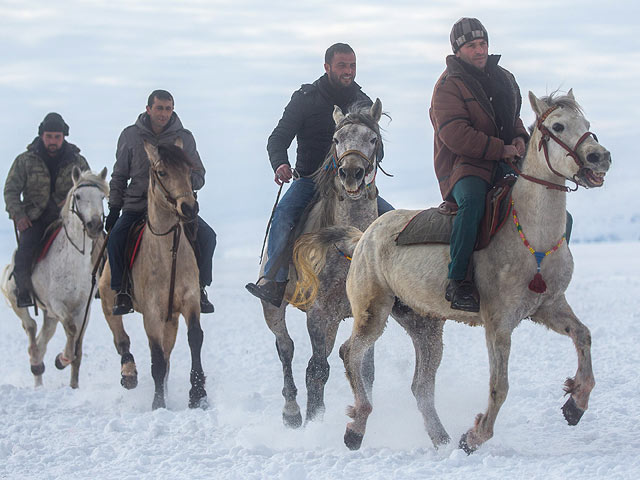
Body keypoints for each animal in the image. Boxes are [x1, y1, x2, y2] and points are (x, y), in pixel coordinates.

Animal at [0, 167, 108, 388]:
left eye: (102, 197)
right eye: (78, 196)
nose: (94, 225)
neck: (73, 262)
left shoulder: (83, 309)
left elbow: (78, 348)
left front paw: (74, 385)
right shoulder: (58, 305)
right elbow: (72, 331)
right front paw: (62, 359)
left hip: (49, 317)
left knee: (41, 343)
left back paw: (39, 377)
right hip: (19, 302)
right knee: (31, 331)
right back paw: (36, 374)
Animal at [97, 141, 208, 410]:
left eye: (189, 170)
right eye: (162, 172)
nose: (189, 207)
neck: (169, 254)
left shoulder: (189, 302)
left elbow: (194, 339)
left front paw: (197, 394)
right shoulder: (152, 313)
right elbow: (156, 357)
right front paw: (158, 404)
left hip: (171, 320)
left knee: (167, 356)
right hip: (108, 303)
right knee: (122, 340)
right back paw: (129, 374)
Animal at [256, 98, 390, 428]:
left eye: (372, 139)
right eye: (336, 138)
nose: (351, 173)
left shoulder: (369, 314)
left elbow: (366, 371)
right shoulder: (319, 316)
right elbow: (316, 370)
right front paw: (314, 423)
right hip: (272, 306)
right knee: (285, 348)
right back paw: (292, 412)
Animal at [296, 91, 608, 454]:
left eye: (586, 124)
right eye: (558, 126)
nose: (600, 157)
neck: (533, 237)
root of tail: (364, 236)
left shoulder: (549, 307)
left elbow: (583, 335)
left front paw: (575, 404)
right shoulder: (499, 322)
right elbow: (499, 385)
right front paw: (474, 436)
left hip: (425, 325)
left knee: (420, 385)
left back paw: (440, 439)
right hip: (372, 311)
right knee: (351, 353)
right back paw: (357, 428)